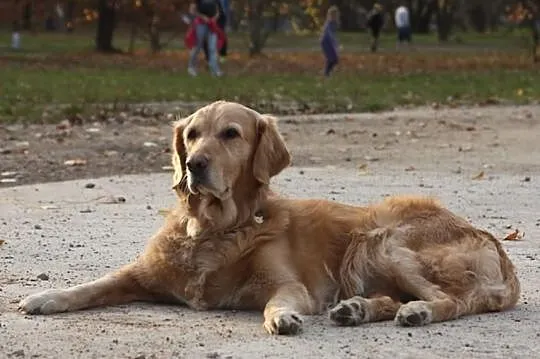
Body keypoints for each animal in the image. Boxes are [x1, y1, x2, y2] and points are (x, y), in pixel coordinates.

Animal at [20, 100, 520, 334]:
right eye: (192, 135)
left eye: (231, 134)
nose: (194, 165)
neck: (214, 228)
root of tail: (497, 246)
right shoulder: (140, 274)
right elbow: (92, 285)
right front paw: (46, 297)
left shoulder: (290, 284)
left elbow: (275, 301)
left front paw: (282, 318)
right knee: (390, 298)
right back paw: (357, 309)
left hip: (384, 240)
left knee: (450, 301)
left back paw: (416, 311)